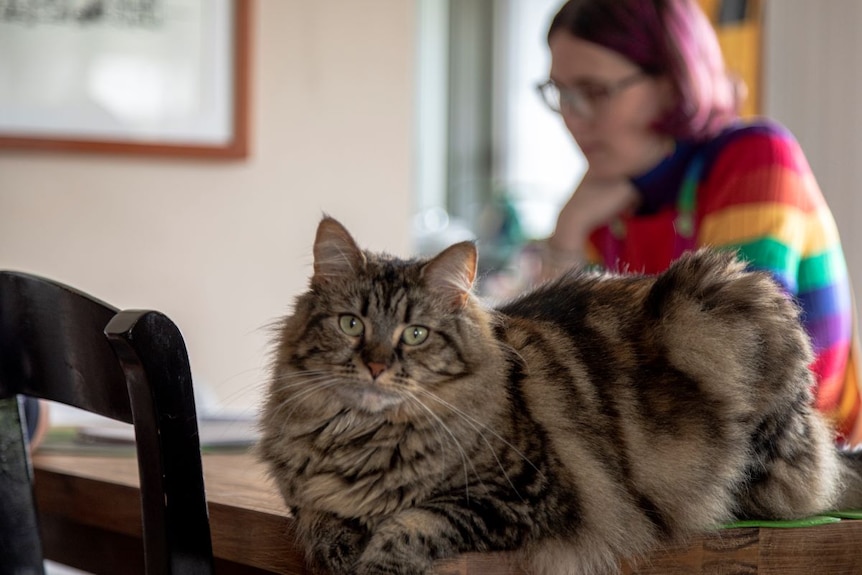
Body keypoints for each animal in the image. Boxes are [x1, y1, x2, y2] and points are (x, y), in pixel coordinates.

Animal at [260, 217, 862, 575]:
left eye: (415, 334)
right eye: (351, 323)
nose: (376, 365)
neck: (361, 438)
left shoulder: (520, 496)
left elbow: (410, 525)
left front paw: (374, 560)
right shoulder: (304, 494)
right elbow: (317, 517)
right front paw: (336, 547)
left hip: (717, 307)